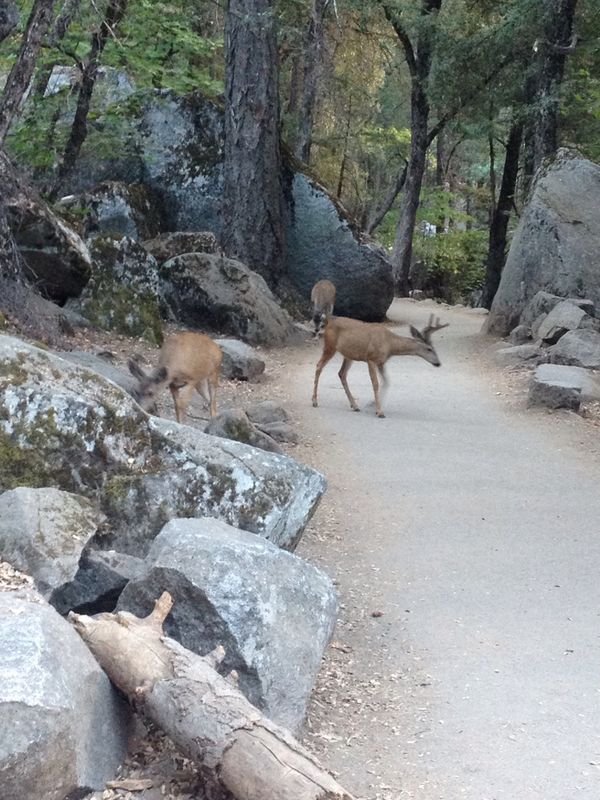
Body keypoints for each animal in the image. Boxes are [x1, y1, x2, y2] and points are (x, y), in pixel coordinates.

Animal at [312, 314, 448, 418]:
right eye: (429, 349)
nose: (438, 363)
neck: (390, 344)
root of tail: (329, 321)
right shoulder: (371, 358)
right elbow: (375, 384)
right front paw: (379, 411)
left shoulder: (381, 362)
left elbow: (387, 381)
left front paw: (372, 404)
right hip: (330, 346)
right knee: (319, 366)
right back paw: (314, 401)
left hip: (349, 354)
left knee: (342, 373)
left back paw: (355, 405)